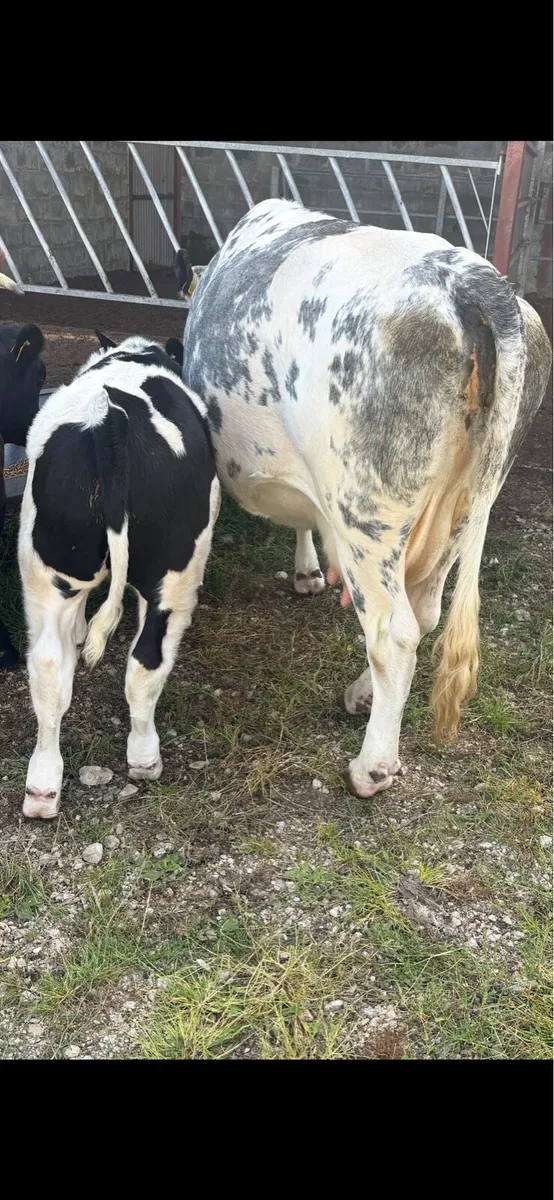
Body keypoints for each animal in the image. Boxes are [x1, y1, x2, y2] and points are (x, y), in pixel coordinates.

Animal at [18, 332, 220, 819]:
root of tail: (110, 424)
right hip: (175, 573)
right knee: (146, 662)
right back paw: (144, 758)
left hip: (46, 572)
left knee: (47, 668)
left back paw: (42, 788)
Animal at [181, 198, 552, 799]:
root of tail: (469, 278)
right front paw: (309, 570)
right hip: (464, 506)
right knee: (424, 615)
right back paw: (360, 696)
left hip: (366, 514)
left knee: (393, 633)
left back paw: (372, 767)